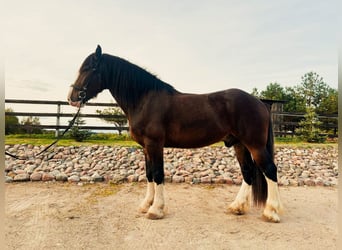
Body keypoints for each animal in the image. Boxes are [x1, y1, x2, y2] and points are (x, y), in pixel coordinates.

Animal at [67, 45, 284, 223]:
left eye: (89, 69)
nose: (72, 98)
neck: (145, 100)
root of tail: (259, 102)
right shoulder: (145, 148)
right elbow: (149, 174)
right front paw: (146, 205)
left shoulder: (154, 144)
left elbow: (158, 174)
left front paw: (156, 210)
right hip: (239, 144)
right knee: (248, 172)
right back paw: (237, 207)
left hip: (255, 145)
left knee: (270, 170)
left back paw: (271, 212)